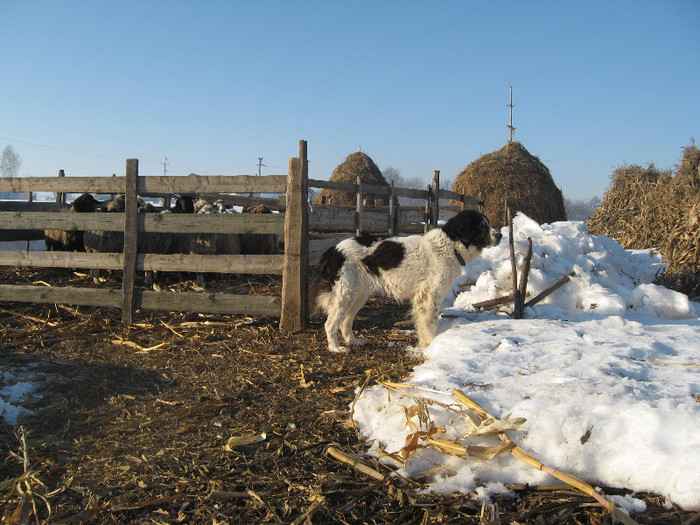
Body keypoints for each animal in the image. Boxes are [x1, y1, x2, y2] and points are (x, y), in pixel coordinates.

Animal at [312, 209, 504, 352]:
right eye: (481, 225)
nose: (500, 235)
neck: (448, 246)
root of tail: (333, 250)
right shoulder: (429, 297)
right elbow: (430, 323)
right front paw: (431, 344)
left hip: (358, 295)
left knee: (345, 322)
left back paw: (353, 341)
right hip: (345, 295)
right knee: (330, 323)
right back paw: (335, 348)